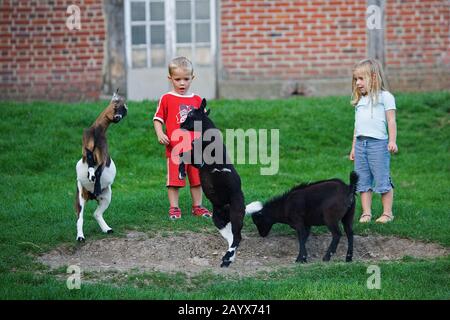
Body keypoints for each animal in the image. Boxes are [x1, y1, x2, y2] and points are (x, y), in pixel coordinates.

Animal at [74, 89, 126, 241]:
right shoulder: (86, 149)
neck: (97, 132)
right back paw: (80, 237)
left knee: (96, 213)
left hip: (107, 196)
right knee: (80, 217)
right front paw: (90, 175)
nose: (118, 118)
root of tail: (91, 196)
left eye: (125, 111)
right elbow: (91, 162)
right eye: (116, 105)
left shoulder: (102, 155)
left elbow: (98, 170)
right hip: (80, 196)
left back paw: (107, 229)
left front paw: (94, 180)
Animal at [178, 99, 244, 268]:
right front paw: (181, 173)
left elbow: (183, 154)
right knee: (232, 238)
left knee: (237, 237)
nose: (181, 124)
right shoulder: (196, 161)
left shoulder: (199, 160)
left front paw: (181, 173)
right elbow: (182, 154)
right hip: (219, 220)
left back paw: (227, 258)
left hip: (237, 213)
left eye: (191, 114)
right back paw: (227, 259)